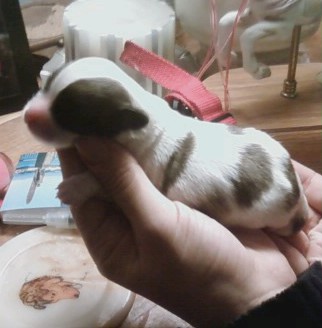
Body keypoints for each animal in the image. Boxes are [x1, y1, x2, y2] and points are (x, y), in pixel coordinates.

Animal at [23, 57, 308, 236]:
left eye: (71, 115)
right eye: (45, 86)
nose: (27, 116)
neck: (143, 115)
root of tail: (295, 188)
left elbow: (101, 184)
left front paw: (72, 187)